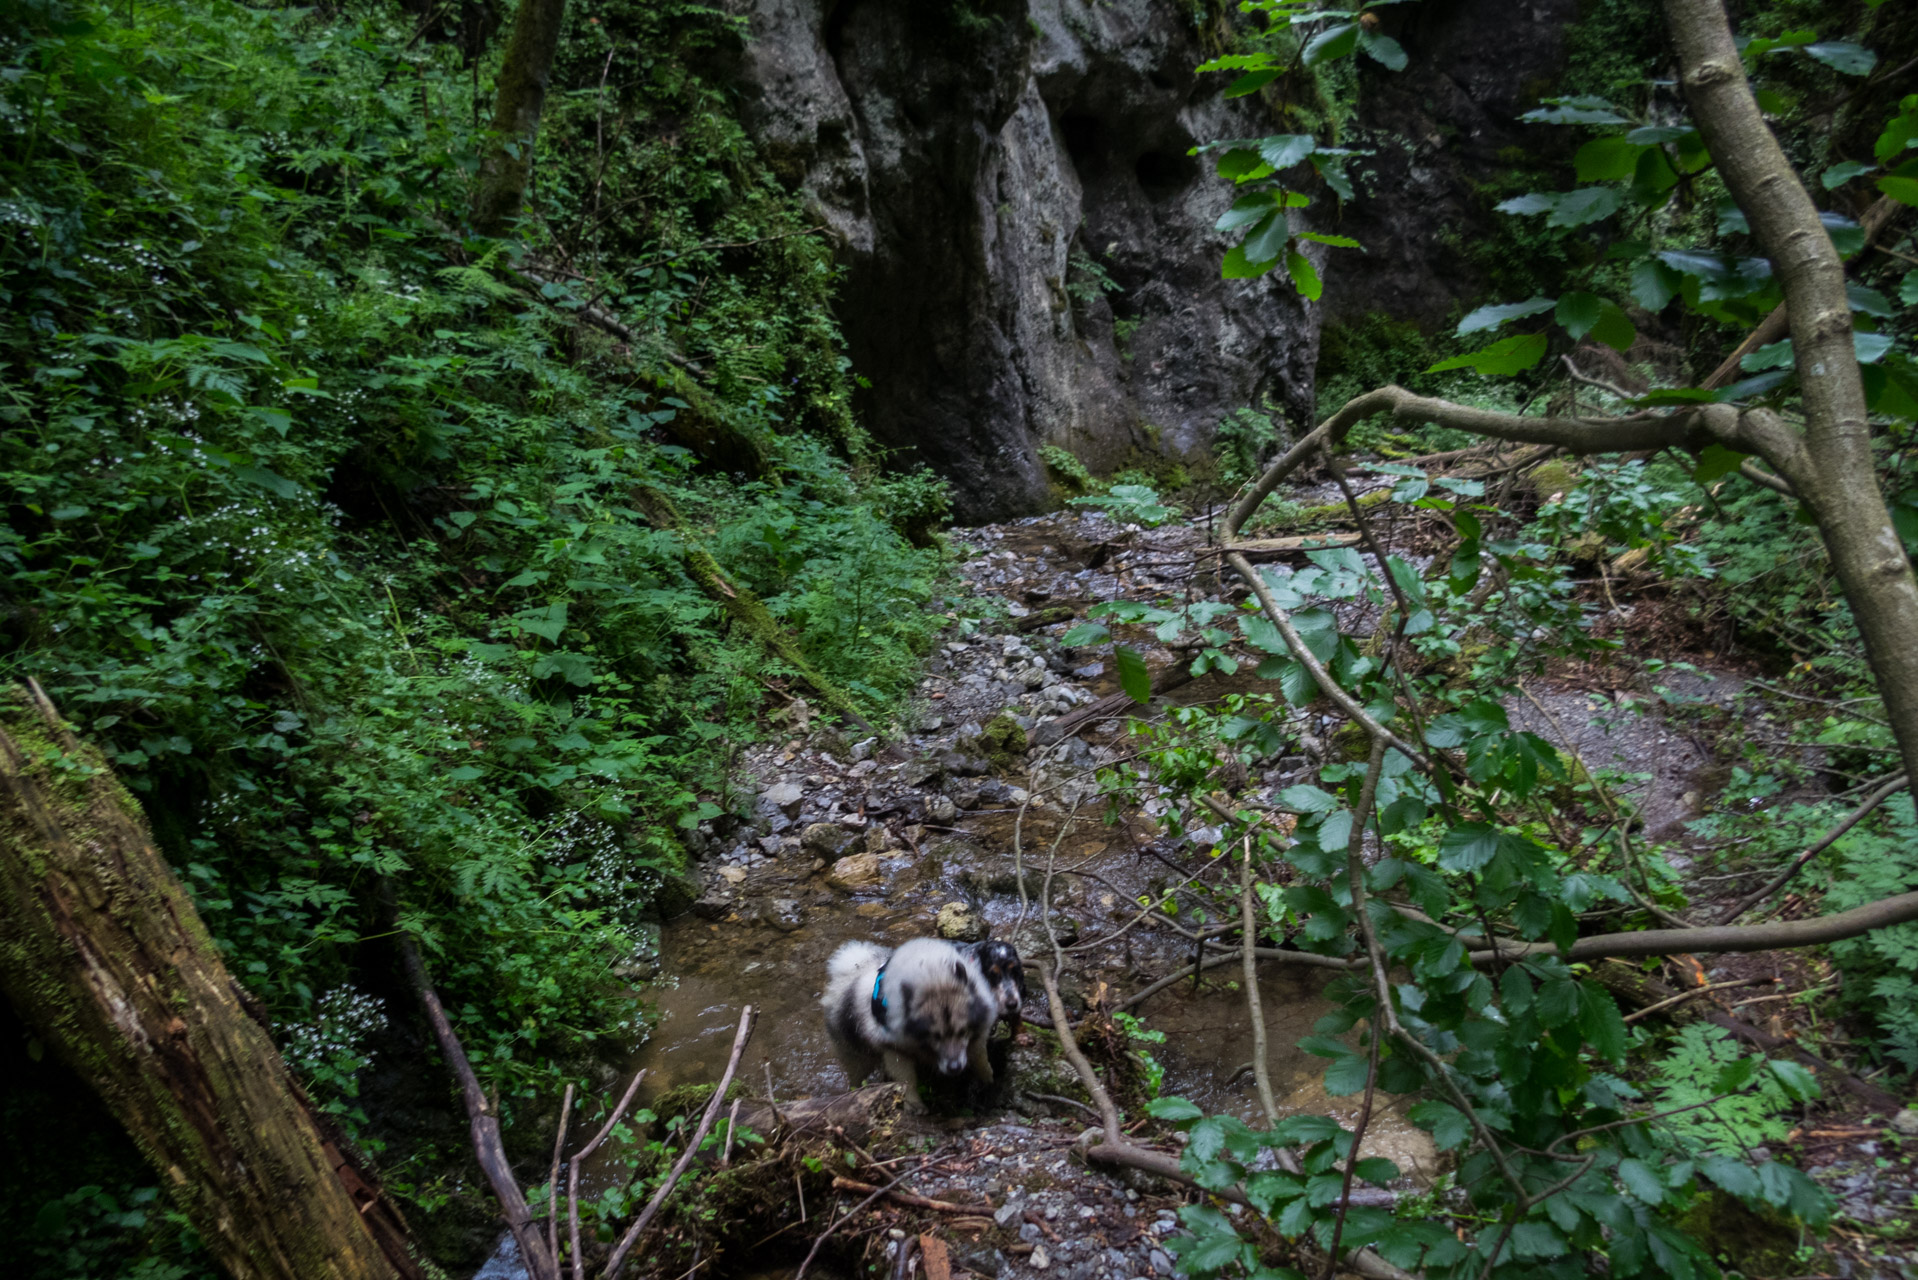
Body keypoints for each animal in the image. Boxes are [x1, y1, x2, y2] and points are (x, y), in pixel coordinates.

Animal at [817, 932, 989, 1113]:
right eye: (935, 1036)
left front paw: (988, 1079)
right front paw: (914, 1104)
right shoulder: (895, 1051)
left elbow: (980, 1059)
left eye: (963, 1032)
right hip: (856, 1055)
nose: (954, 1067)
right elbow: (907, 1080)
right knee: (856, 1076)